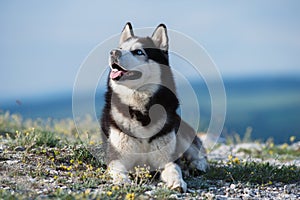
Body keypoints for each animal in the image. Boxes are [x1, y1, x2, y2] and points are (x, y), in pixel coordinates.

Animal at [101, 22, 209, 192]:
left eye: (138, 52)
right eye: (120, 48)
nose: (113, 52)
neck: (141, 111)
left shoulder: (167, 159)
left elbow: (175, 169)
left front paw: (178, 182)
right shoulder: (116, 157)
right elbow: (118, 170)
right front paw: (123, 181)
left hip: (181, 134)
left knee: (198, 152)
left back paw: (197, 165)